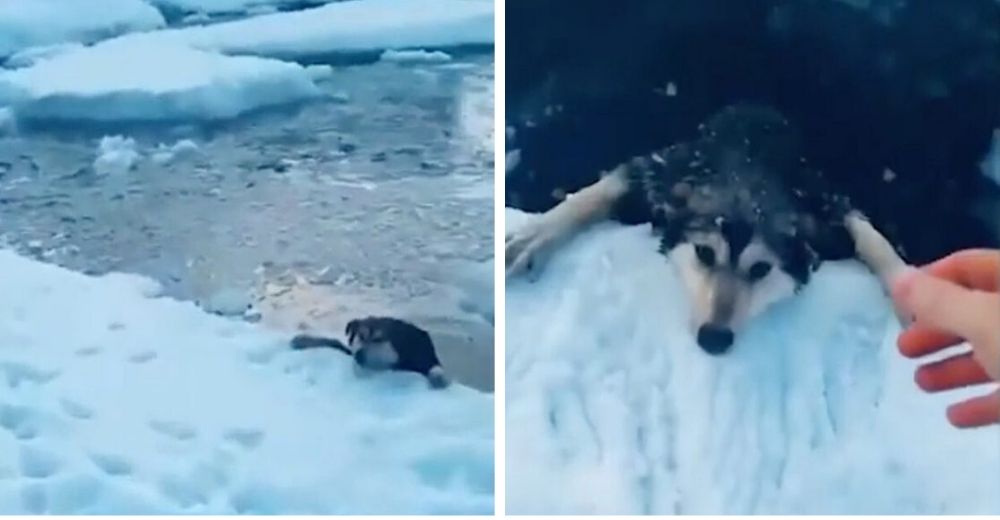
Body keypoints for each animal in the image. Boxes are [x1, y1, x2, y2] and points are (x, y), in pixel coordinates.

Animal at [290, 314, 446, 388]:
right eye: (361, 335)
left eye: (378, 339)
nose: (359, 354)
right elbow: (334, 343)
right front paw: (302, 340)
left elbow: (434, 368)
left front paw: (438, 378)